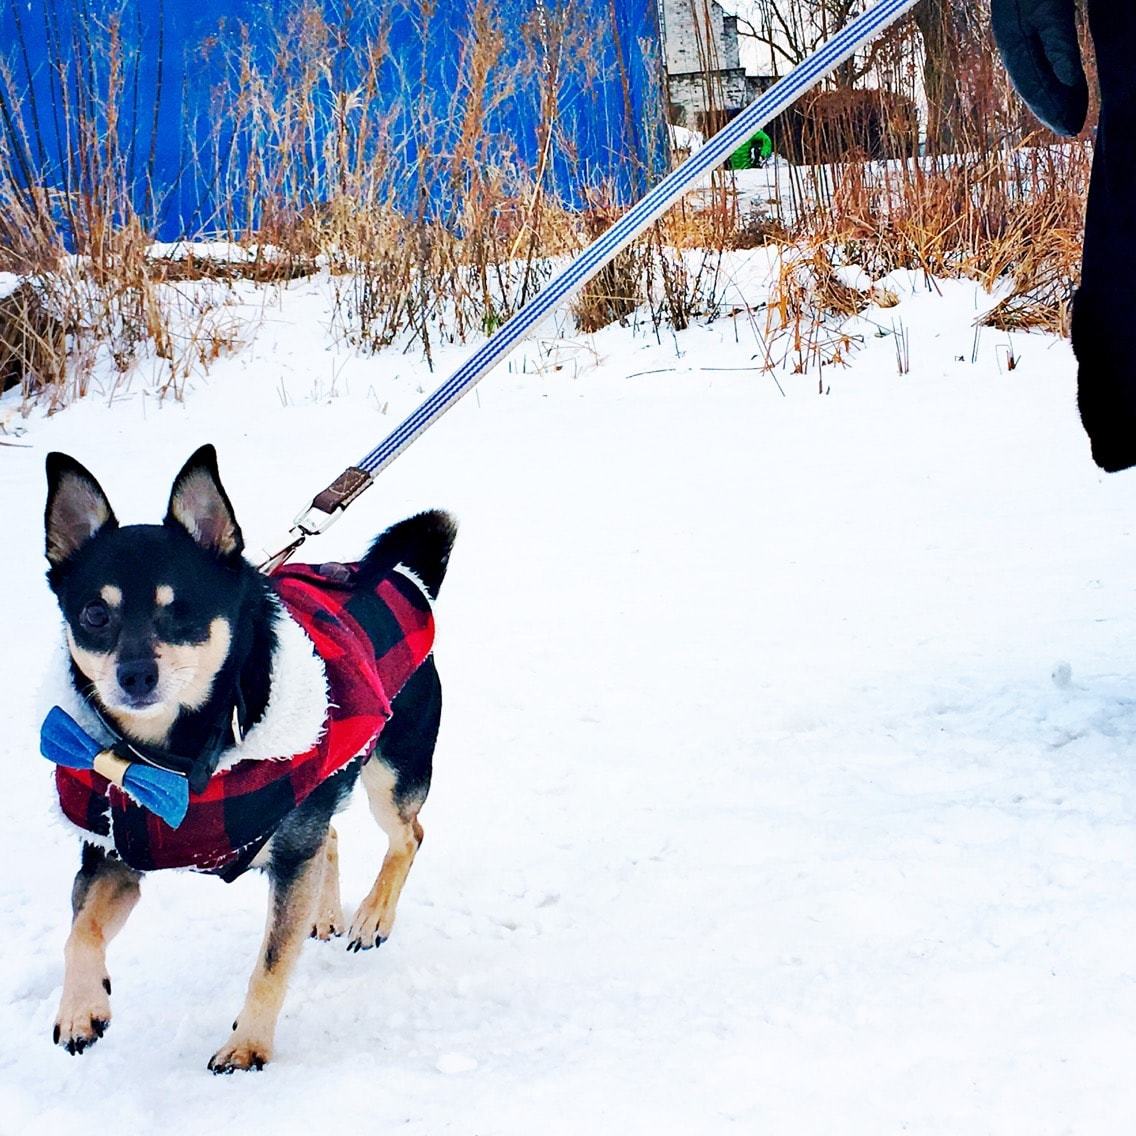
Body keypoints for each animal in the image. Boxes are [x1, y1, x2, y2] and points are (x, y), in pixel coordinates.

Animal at [41, 445, 456, 1072]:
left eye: (181, 611)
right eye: (94, 614)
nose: (134, 675)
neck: (172, 757)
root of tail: (409, 583)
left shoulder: (290, 854)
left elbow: (272, 963)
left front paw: (247, 1046)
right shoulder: (111, 851)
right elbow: (78, 932)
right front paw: (80, 1007)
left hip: (391, 771)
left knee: (409, 836)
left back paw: (372, 916)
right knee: (332, 836)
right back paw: (328, 913)